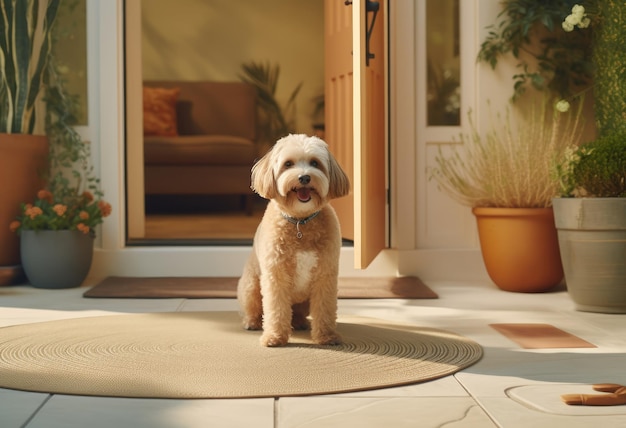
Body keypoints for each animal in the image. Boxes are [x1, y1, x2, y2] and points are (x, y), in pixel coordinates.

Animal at [236, 135, 348, 348]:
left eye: (315, 163)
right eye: (288, 164)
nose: (304, 177)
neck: (300, 222)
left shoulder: (325, 276)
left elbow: (325, 309)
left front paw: (327, 336)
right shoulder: (276, 276)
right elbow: (276, 310)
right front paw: (274, 337)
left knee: (297, 313)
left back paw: (300, 322)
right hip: (251, 286)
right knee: (255, 309)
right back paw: (251, 322)